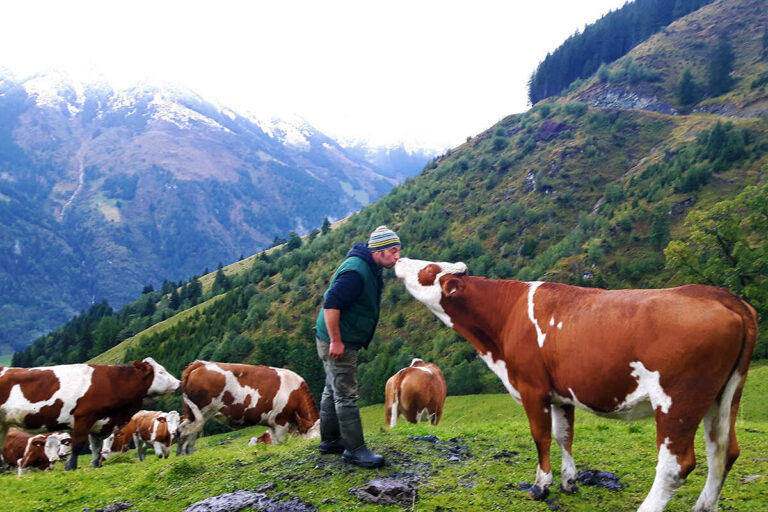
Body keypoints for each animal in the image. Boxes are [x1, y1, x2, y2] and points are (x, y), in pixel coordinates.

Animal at [0, 356, 178, 472]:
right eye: (161, 372)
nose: (178, 383)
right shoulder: (83, 418)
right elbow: (78, 445)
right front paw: (70, 467)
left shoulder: (98, 422)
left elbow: (96, 447)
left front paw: (96, 465)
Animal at [176, 358, 318, 454]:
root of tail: (200, 363)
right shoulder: (281, 420)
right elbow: (281, 441)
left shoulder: (273, 423)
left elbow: (275, 441)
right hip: (200, 412)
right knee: (185, 430)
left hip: (191, 413)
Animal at [396, 258, 756, 512]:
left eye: (428, 269)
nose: (399, 259)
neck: (504, 319)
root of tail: (721, 295)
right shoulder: (561, 394)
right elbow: (563, 435)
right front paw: (569, 482)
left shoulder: (532, 388)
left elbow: (540, 436)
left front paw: (541, 486)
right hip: (723, 397)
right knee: (723, 450)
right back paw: (703, 507)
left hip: (678, 400)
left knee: (675, 465)